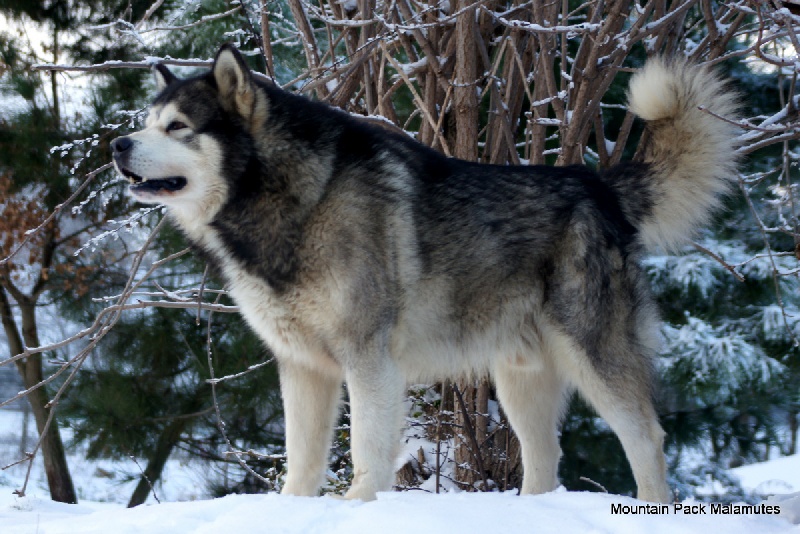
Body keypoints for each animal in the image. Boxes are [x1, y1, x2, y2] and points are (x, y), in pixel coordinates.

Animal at [111, 44, 736, 504]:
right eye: (146, 124)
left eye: (177, 127)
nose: (117, 143)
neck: (289, 198)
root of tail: (598, 184)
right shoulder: (302, 367)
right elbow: (302, 461)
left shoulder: (368, 361)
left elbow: (365, 453)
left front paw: (357, 510)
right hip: (519, 380)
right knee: (545, 458)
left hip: (594, 359)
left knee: (647, 438)